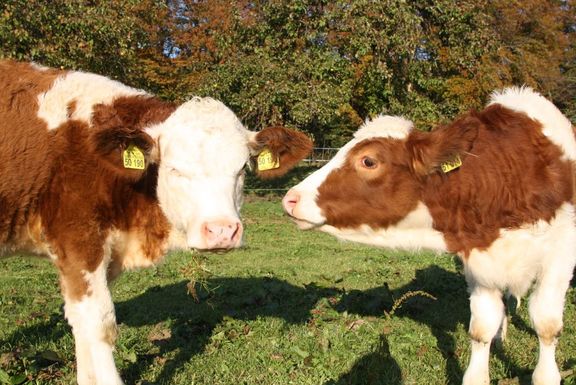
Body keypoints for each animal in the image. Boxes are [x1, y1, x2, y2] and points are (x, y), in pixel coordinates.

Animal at [0, 60, 312, 384]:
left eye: (241, 169)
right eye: (174, 169)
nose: (222, 231)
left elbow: (81, 326)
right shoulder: (78, 242)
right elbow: (98, 324)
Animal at [282, 86, 576, 384]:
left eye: (368, 160)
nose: (291, 199)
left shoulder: (561, 256)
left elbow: (546, 326)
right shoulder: (478, 260)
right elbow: (482, 328)